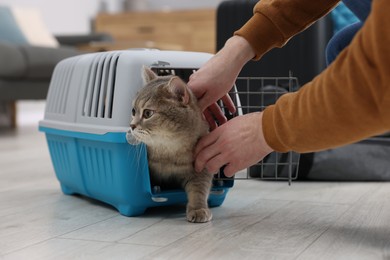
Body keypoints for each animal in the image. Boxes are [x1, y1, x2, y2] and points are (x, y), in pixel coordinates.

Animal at [126, 66, 213, 222]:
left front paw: (198, 209)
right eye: (133, 111)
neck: (168, 151)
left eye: (147, 113)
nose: (131, 126)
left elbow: (199, 190)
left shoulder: (201, 168)